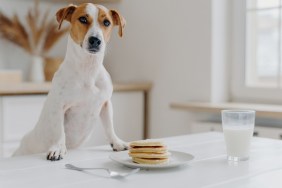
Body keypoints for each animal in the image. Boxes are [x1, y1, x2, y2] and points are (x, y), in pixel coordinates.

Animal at [13, 3, 128, 160]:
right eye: (83, 19)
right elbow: (59, 131)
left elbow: (109, 126)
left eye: (106, 22)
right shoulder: (59, 107)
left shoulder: (105, 104)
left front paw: (116, 143)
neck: (88, 69)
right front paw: (58, 149)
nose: (95, 40)